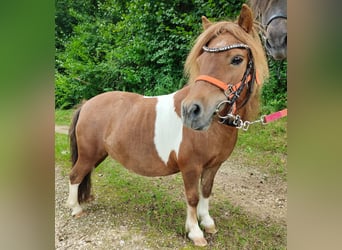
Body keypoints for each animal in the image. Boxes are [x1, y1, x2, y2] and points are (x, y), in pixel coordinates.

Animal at [67, 4, 268, 246]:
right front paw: (195, 232)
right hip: (88, 154)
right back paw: (75, 209)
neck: (213, 128)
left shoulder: (212, 166)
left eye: (237, 59)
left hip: (97, 155)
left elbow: (206, 191)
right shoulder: (190, 167)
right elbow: (192, 197)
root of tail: (87, 103)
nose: (192, 111)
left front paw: (208, 223)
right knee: (75, 176)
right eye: (200, 61)